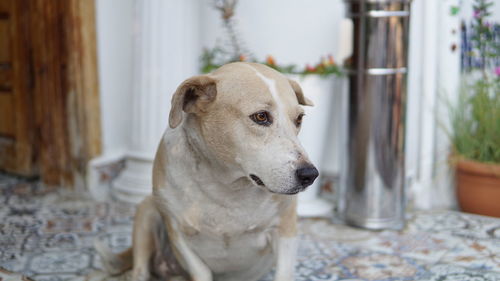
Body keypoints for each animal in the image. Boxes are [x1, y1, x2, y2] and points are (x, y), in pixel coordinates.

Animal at [95, 61, 318, 280]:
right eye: (261, 116)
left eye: (299, 119)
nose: (310, 175)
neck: (227, 186)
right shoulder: (178, 234)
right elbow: (201, 270)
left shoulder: (285, 230)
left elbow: (284, 272)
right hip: (147, 209)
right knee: (139, 270)